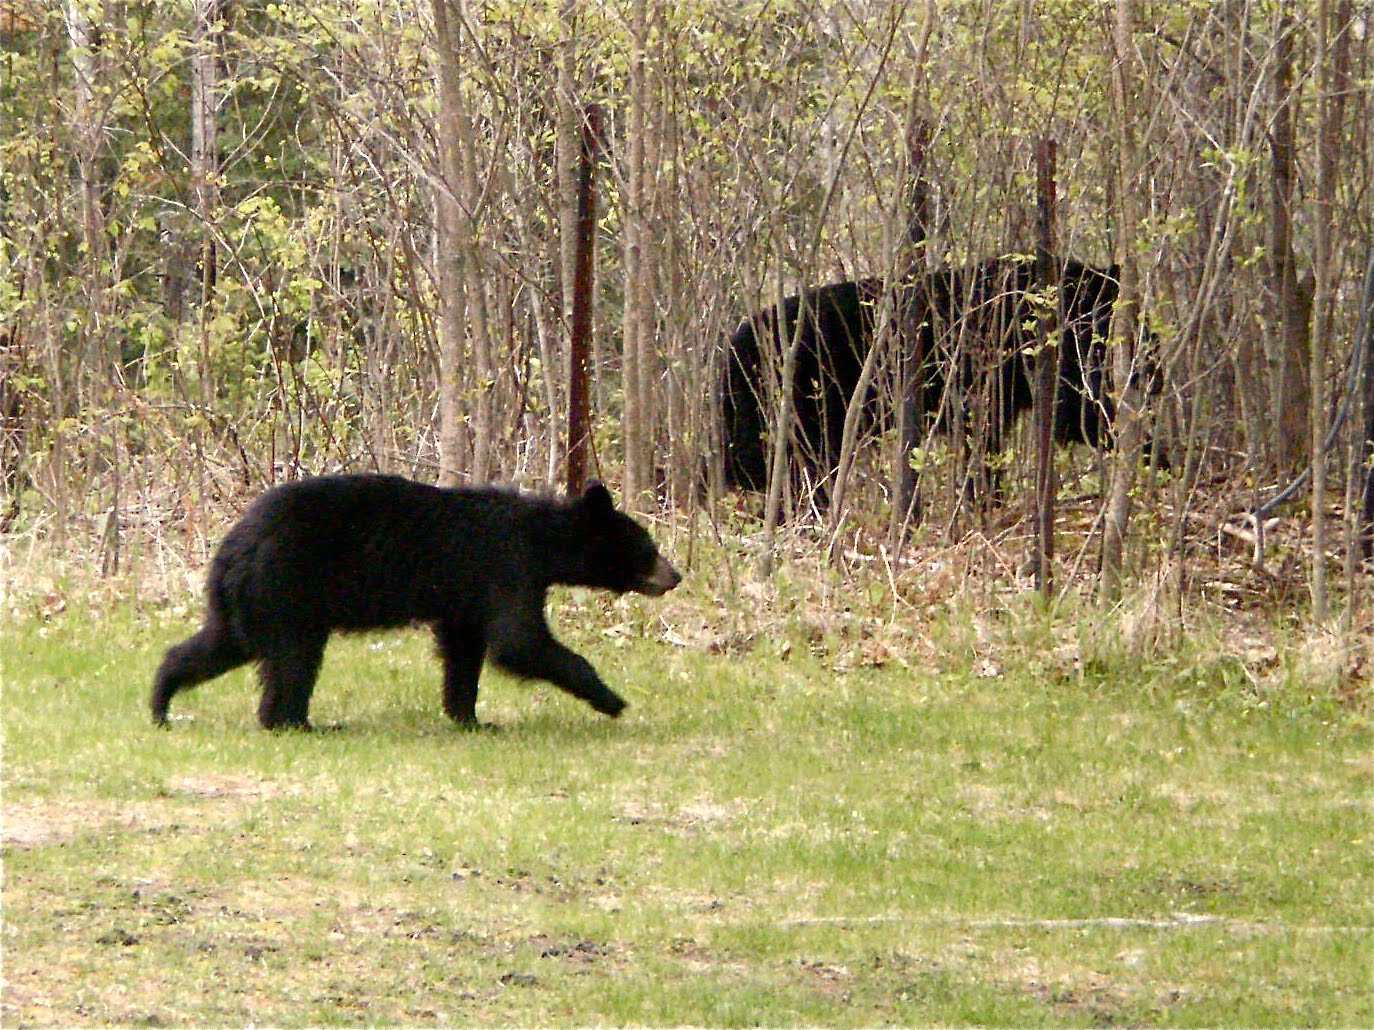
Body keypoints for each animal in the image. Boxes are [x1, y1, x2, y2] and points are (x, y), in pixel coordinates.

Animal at [151, 475, 681, 731]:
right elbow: (520, 641)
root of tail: (232, 547)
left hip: (252, 602)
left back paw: (161, 700)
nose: (674, 576)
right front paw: (611, 698)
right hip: (288, 592)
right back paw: (298, 722)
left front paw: (470, 717)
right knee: (295, 661)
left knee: (218, 645)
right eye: (647, 547)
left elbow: (464, 650)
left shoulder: (466, 596)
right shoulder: (506, 567)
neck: (540, 538)